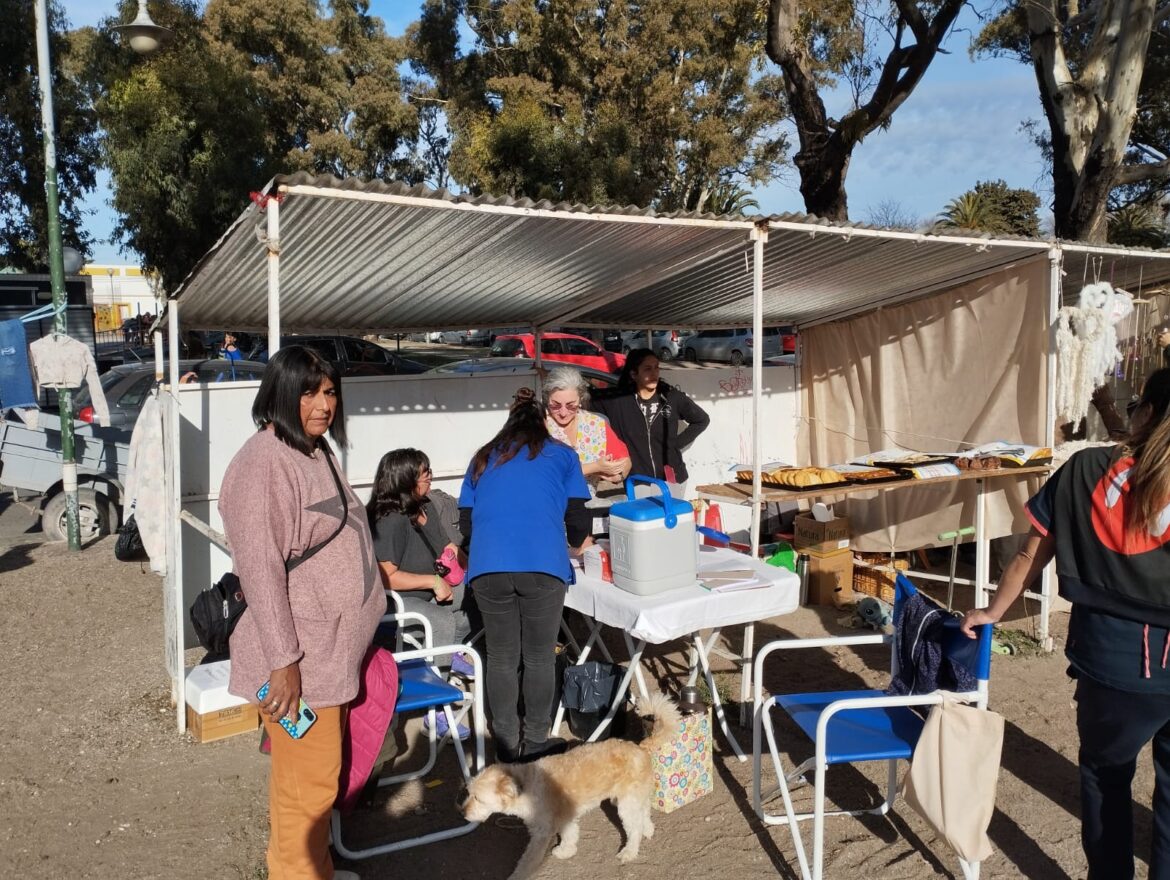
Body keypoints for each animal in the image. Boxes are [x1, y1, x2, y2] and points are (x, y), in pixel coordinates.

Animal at [458, 692, 683, 880]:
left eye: (478, 798)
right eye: (469, 794)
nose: (463, 813)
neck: (526, 785)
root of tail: (639, 746)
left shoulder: (541, 834)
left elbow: (528, 861)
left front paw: (518, 875)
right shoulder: (565, 818)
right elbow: (570, 835)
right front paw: (566, 851)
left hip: (626, 805)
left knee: (634, 829)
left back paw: (629, 852)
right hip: (634, 798)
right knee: (645, 815)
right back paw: (648, 830)